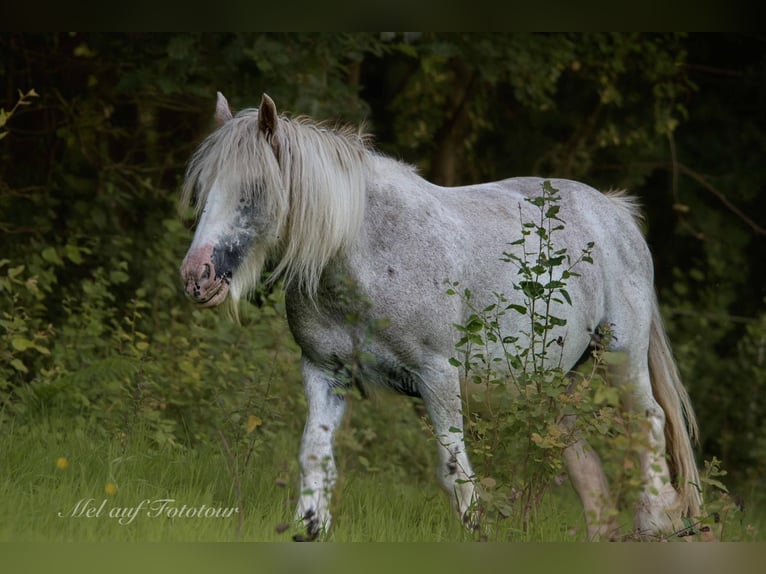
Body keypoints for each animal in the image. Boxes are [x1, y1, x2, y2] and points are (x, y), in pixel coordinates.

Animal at [178, 92, 704, 544]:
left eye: (253, 190)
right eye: (203, 189)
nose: (197, 276)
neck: (366, 256)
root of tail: (613, 211)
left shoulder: (438, 376)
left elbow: (455, 472)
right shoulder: (325, 371)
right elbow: (314, 454)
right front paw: (311, 527)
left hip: (621, 357)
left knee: (648, 425)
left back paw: (656, 522)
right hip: (553, 382)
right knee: (579, 455)